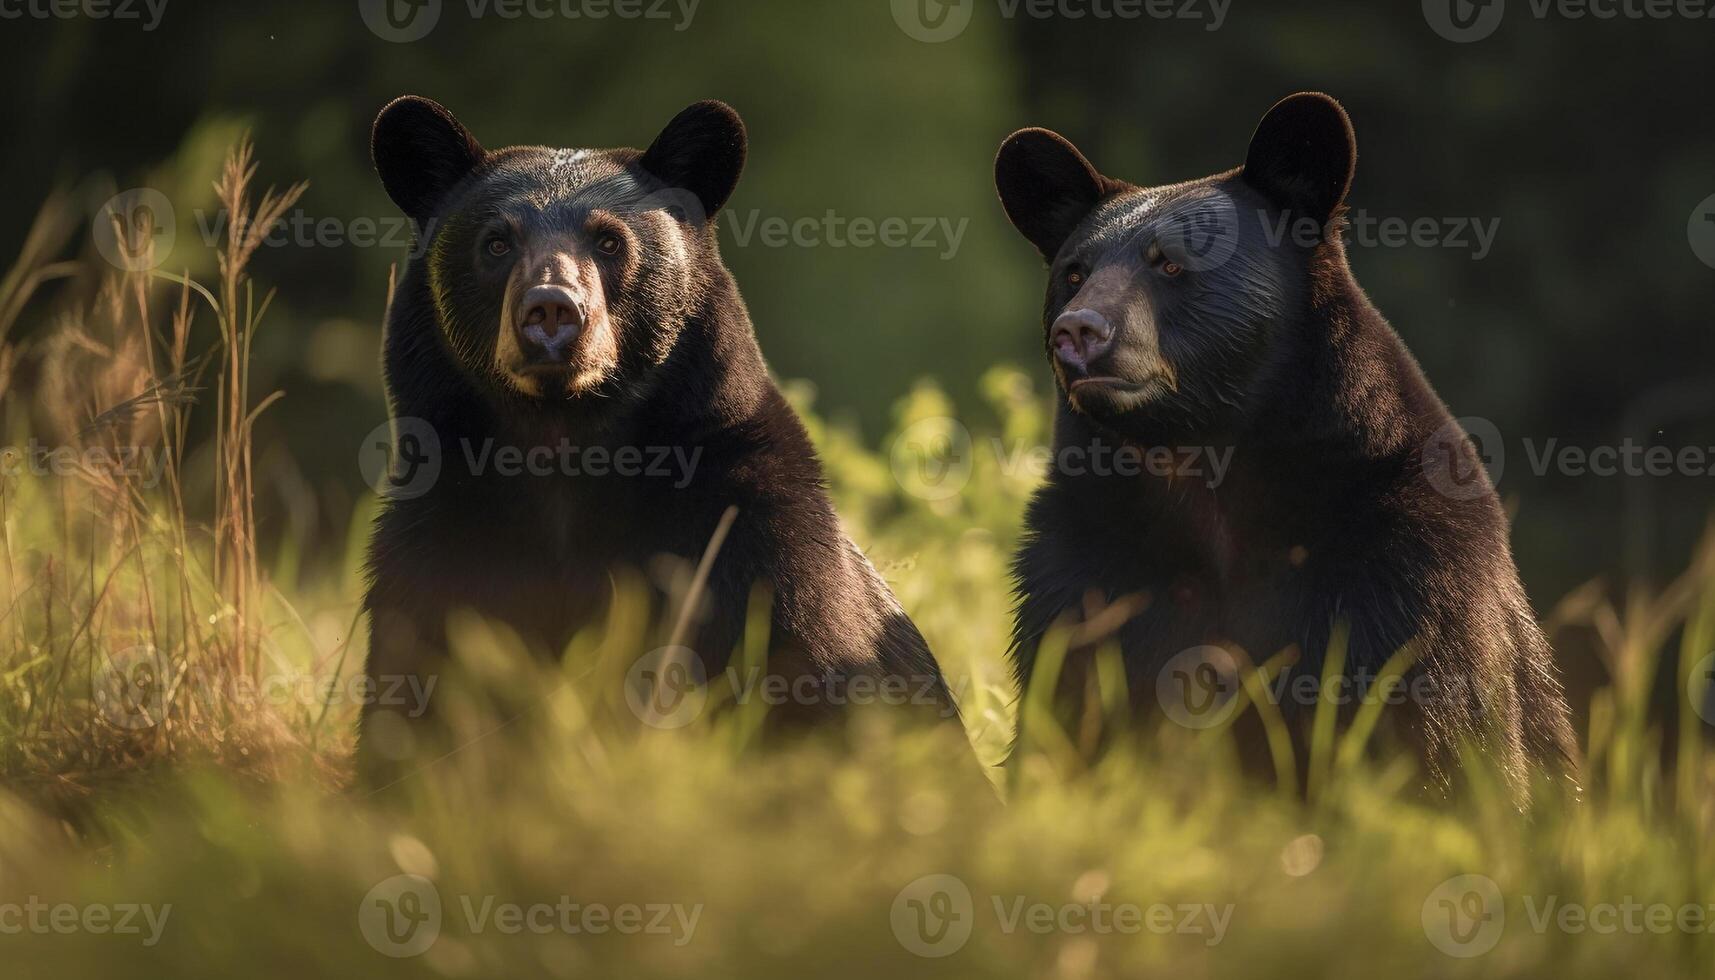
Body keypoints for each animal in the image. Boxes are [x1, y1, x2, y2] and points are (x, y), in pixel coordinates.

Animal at [361, 93, 960, 751]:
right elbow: (415, 687)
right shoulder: (439, 538)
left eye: (609, 241)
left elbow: (808, 664)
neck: (566, 442)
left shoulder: (754, 534)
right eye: (496, 243)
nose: (551, 312)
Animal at [1001, 90, 1570, 796]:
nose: (1078, 332)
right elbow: (1070, 705)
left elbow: (1437, 736)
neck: (1207, 469)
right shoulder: (1087, 571)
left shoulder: (1407, 577)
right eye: (1074, 274)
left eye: (1170, 263)